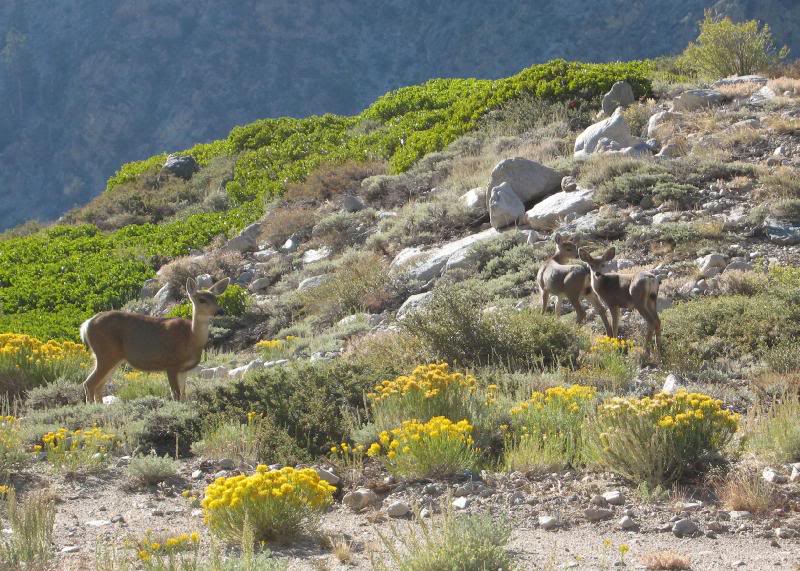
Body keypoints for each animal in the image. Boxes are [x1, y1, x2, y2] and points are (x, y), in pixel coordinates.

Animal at [80, 277, 229, 403]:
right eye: (202, 300)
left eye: (216, 299)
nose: (220, 311)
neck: (191, 338)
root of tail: (86, 325)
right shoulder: (171, 364)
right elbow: (175, 395)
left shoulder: (183, 369)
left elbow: (183, 394)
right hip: (106, 354)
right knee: (89, 383)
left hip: (112, 358)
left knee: (98, 386)